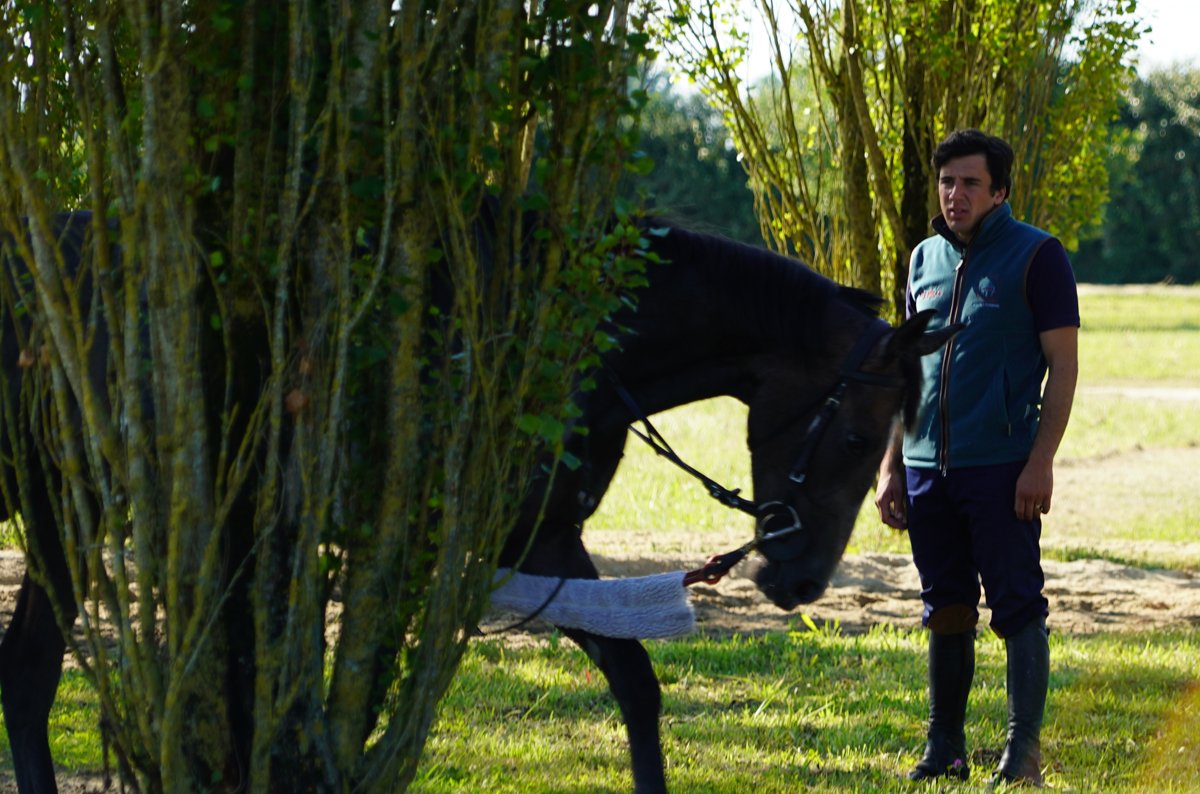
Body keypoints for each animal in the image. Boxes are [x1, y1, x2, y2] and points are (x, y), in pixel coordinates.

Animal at [0, 212, 955, 792]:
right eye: (860, 437)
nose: (800, 582)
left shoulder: (546, 543)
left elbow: (635, 682)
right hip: (62, 512)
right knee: (33, 669)